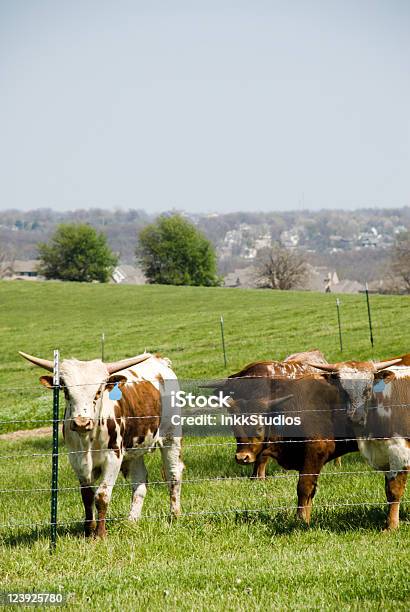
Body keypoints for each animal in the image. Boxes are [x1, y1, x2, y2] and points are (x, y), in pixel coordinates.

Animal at [20, 352, 183, 536]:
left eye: (98, 391)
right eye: (66, 390)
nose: (81, 423)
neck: (88, 440)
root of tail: (159, 360)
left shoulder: (113, 458)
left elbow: (102, 496)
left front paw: (100, 534)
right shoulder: (76, 460)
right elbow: (87, 496)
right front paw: (88, 531)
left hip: (171, 437)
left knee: (173, 474)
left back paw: (174, 516)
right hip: (134, 449)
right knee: (140, 482)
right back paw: (131, 522)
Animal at [310, 356, 408, 528]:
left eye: (368, 389)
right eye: (342, 390)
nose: (356, 418)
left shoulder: (399, 451)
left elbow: (395, 490)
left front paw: (392, 525)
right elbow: (388, 491)